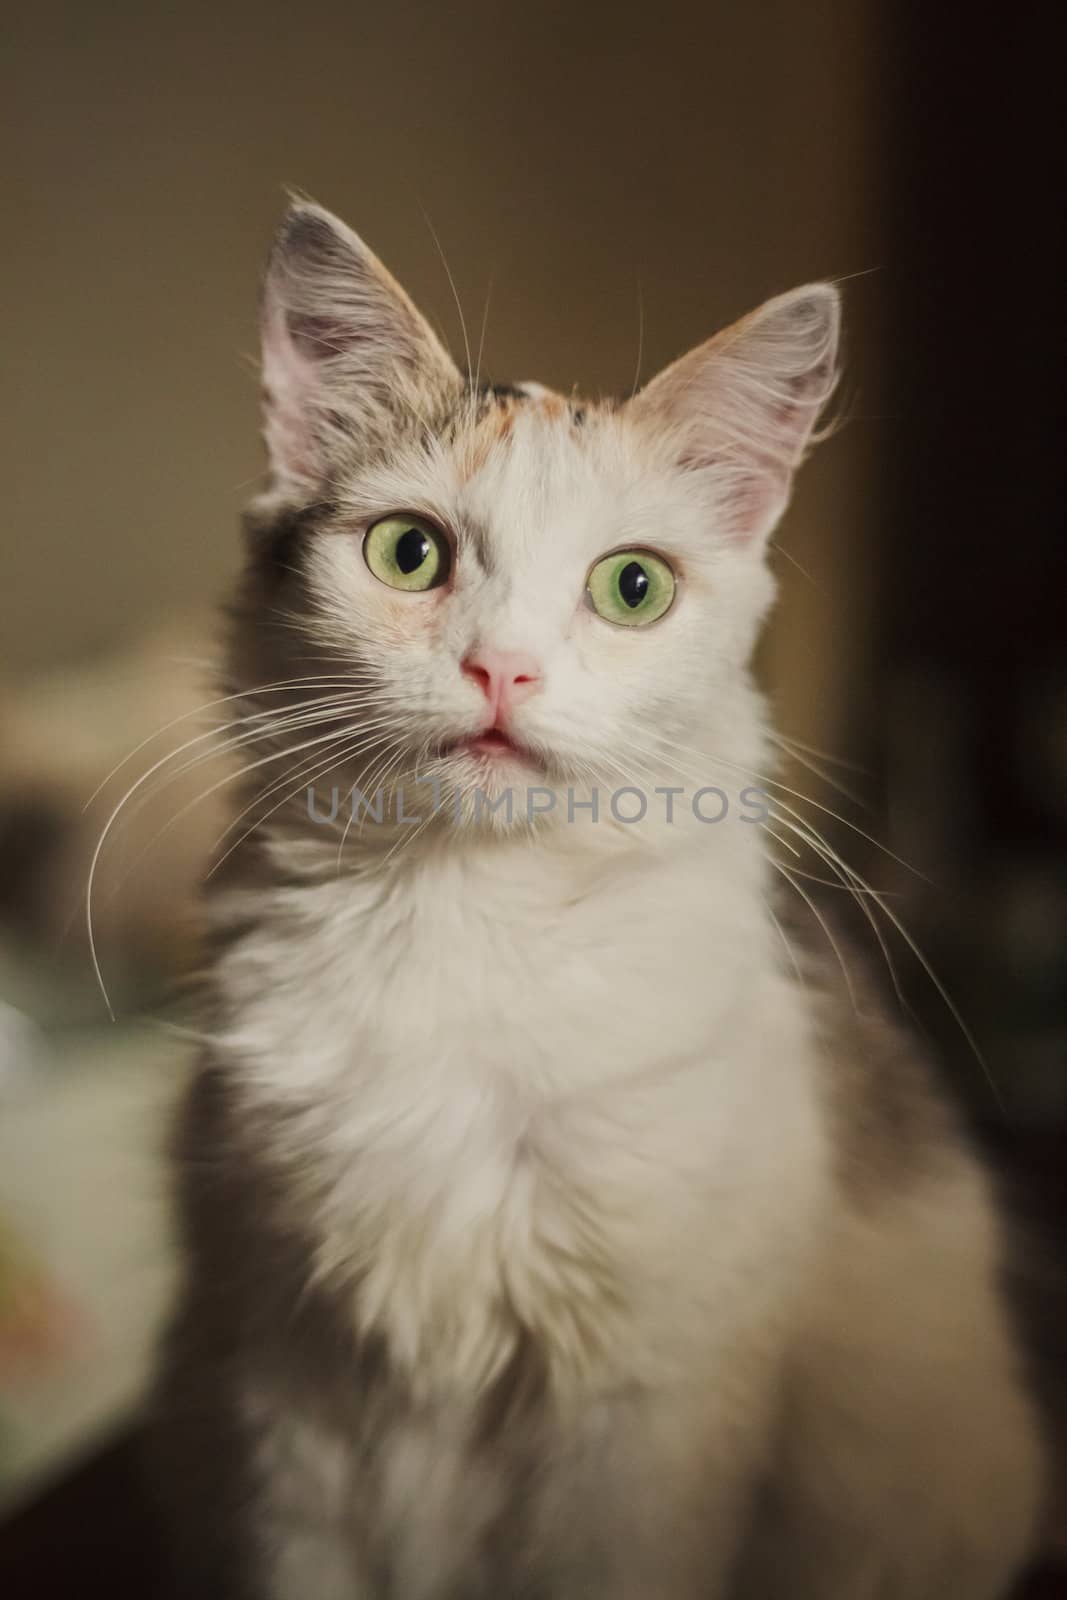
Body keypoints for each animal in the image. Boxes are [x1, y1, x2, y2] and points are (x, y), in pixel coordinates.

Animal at [151, 206, 1049, 1593]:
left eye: (632, 587)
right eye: (409, 553)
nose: (502, 668)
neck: (464, 909)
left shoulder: (643, 1406)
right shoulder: (286, 1378)